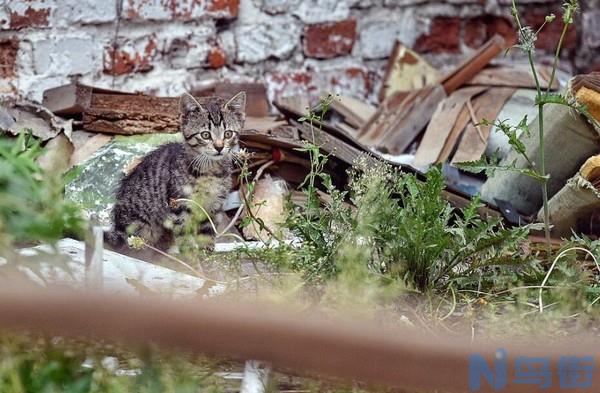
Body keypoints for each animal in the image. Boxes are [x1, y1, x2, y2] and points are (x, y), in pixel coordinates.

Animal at [104, 91, 245, 251]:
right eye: (205, 135)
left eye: (228, 134)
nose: (219, 147)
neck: (211, 170)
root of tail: (117, 227)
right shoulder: (179, 206)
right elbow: (184, 235)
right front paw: (190, 254)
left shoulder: (212, 207)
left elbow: (207, 233)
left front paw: (206, 251)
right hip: (142, 227)